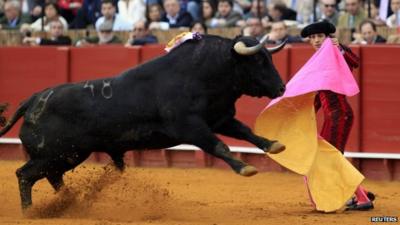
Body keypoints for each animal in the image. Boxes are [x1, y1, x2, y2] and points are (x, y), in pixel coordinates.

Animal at [0, 34, 288, 209]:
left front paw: (274, 145)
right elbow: (219, 146)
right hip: (53, 154)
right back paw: (30, 212)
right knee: (25, 175)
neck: (204, 73)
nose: (281, 87)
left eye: (270, 58)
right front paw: (245, 168)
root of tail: (33, 99)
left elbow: (246, 132)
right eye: (258, 60)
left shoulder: (219, 118)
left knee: (52, 176)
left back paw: (68, 204)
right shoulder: (190, 127)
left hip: (69, 154)